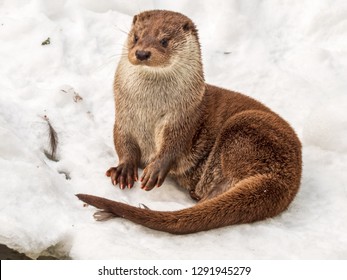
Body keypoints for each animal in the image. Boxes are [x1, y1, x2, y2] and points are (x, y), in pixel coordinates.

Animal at [77, 10, 302, 234]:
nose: (141, 53)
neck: (149, 110)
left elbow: (175, 145)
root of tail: (289, 180)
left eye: (164, 40)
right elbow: (123, 143)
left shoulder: (184, 118)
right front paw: (123, 169)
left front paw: (155, 169)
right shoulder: (124, 117)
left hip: (247, 129)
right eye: (136, 37)